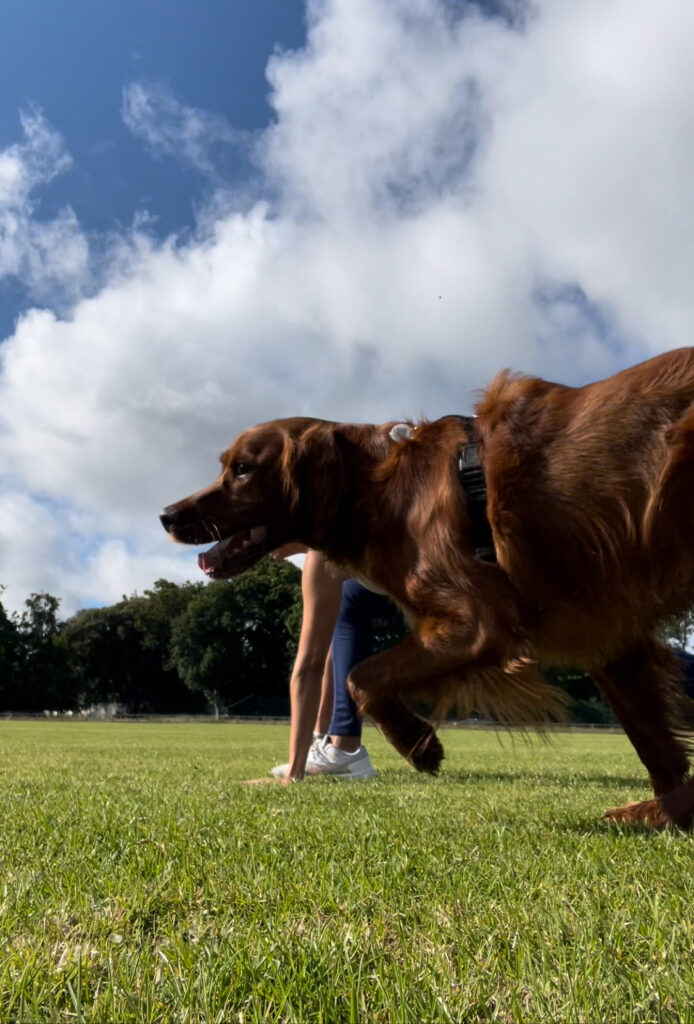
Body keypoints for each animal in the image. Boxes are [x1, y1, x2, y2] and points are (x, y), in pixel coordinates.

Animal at [160, 348, 694, 827]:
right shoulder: (605, 634)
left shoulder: (478, 621)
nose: (166, 515)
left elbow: (361, 677)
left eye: (242, 469)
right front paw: (669, 812)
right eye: (224, 464)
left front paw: (420, 746)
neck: (378, 488)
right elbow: (654, 742)